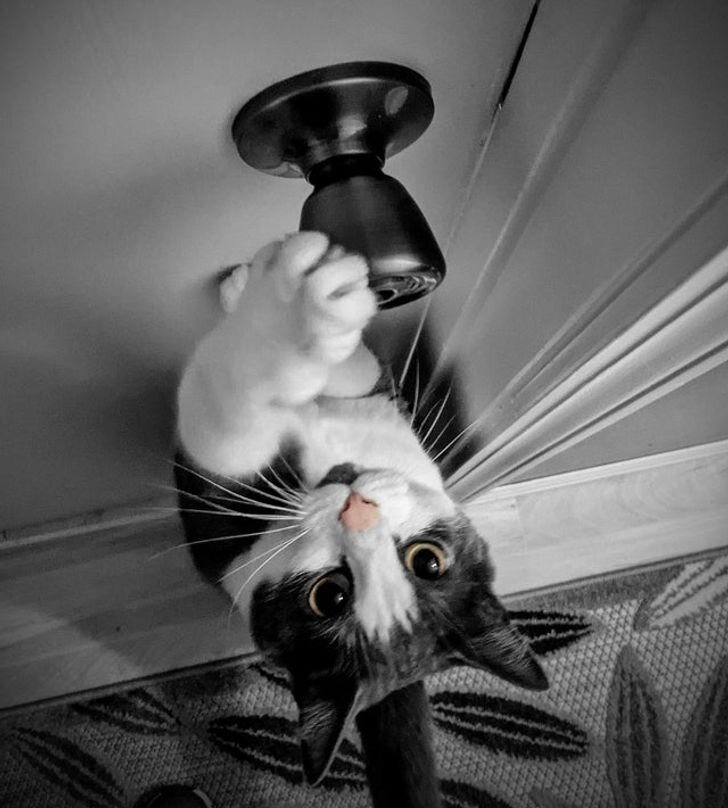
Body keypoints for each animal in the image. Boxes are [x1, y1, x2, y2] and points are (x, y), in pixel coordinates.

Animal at [174, 232, 548, 797]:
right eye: (329, 595)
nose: (359, 511)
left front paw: (293, 310)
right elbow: (254, 417)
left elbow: (249, 420)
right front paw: (274, 303)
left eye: (427, 561)